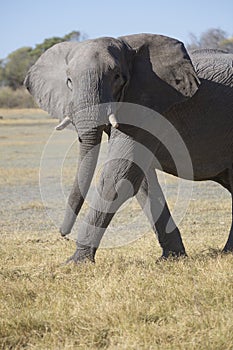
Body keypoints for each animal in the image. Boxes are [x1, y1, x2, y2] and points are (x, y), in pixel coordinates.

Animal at [23, 33, 233, 262]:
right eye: (69, 82)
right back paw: (228, 252)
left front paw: (76, 261)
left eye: (116, 77)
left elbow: (119, 173)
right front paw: (171, 258)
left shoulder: (146, 104)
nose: (63, 234)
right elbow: (140, 179)